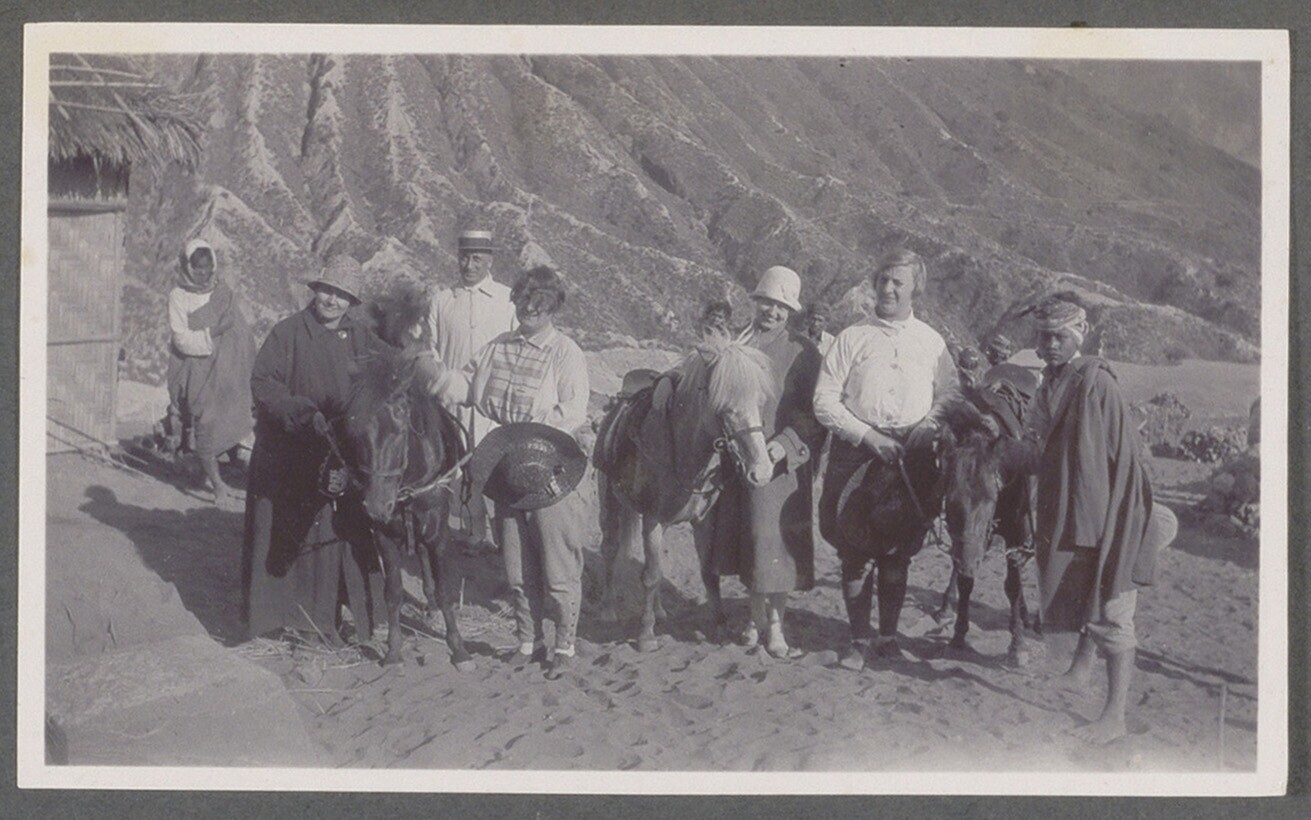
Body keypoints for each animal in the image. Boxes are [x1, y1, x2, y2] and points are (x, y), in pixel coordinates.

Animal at [336, 291, 474, 670]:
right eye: (354, 432)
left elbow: (445, 590)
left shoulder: (439, 533)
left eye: (399, 431)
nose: (376, 506)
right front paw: (394, 651)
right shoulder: (384, 535)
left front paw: (458, 647)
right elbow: (393, 592)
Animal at [594, 337, 777, 651]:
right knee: (610, 549)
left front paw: (720, 625)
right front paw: (646, 635)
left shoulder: (702, 521)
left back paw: (659, 611)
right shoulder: (652, 520)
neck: (682, 452)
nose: (762, 472)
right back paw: (607, 609)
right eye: (723, 407)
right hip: (611, 503)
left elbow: (707, 572)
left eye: (760, 402)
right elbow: (651, 576)